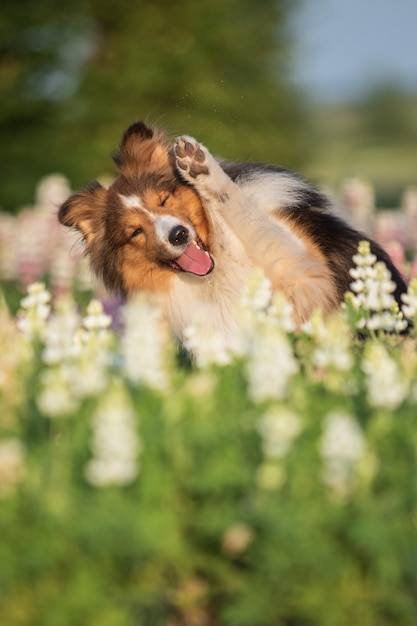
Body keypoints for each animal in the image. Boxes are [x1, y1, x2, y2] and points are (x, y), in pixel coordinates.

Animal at [58, 120, 406, 346]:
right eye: (134, 232)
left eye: (164, 200)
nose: (178, 235)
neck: (216, 273)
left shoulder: (304, 271)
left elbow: (239, 211)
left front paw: (200, 168)